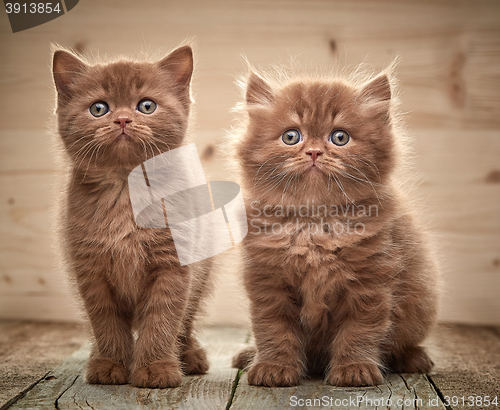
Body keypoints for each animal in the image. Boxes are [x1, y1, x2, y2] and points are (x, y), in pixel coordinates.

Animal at [52, 44, 211, 388]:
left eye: (146, 106)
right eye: (98, 108)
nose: (123, 118)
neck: (127, 190)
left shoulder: (173, 265)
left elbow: (163, 318)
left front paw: (155, 367)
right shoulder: (90, 269)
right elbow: (105, 321)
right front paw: (111, 363)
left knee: (187, 321)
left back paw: (190, 356)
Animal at [232, 66, 440, 388]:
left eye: (340, 137)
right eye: (291, 136)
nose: (315, 152)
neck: (315, 224)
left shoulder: (370, 283)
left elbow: (359, 331)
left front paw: (355, 370)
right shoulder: (268, 283)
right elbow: (273, 330)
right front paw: (273, 368)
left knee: (405, 341)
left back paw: (414, 359)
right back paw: (249, 354)